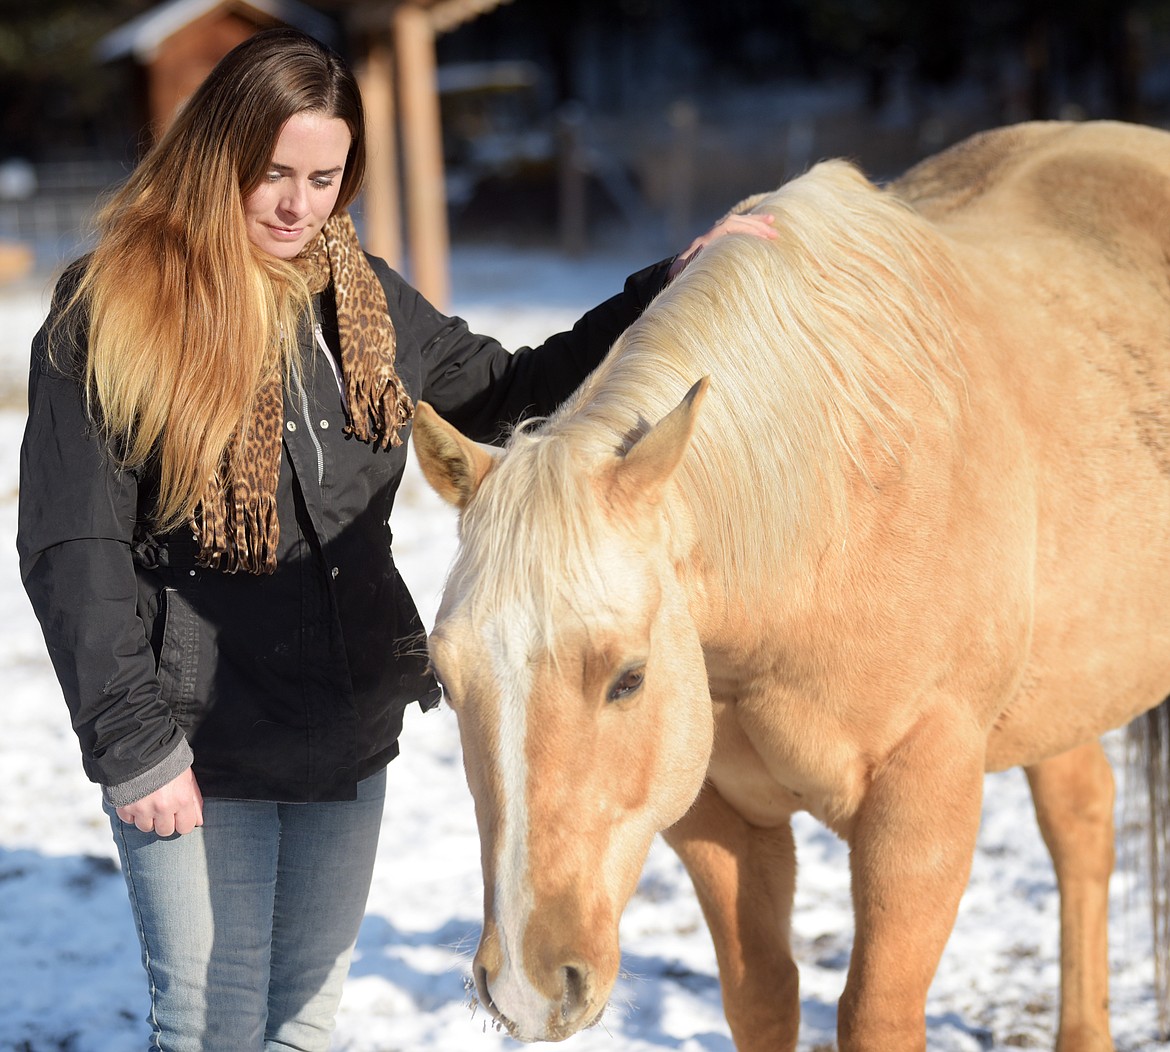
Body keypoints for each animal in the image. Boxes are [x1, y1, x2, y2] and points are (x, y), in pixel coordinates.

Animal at [414, 119, 1170, 1048]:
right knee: (1082, 823)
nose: (525, 985)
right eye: (447, 684)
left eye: (628, 678)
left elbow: (874, 1012)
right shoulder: (716, 821)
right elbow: (763, 997)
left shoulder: (923, 806)